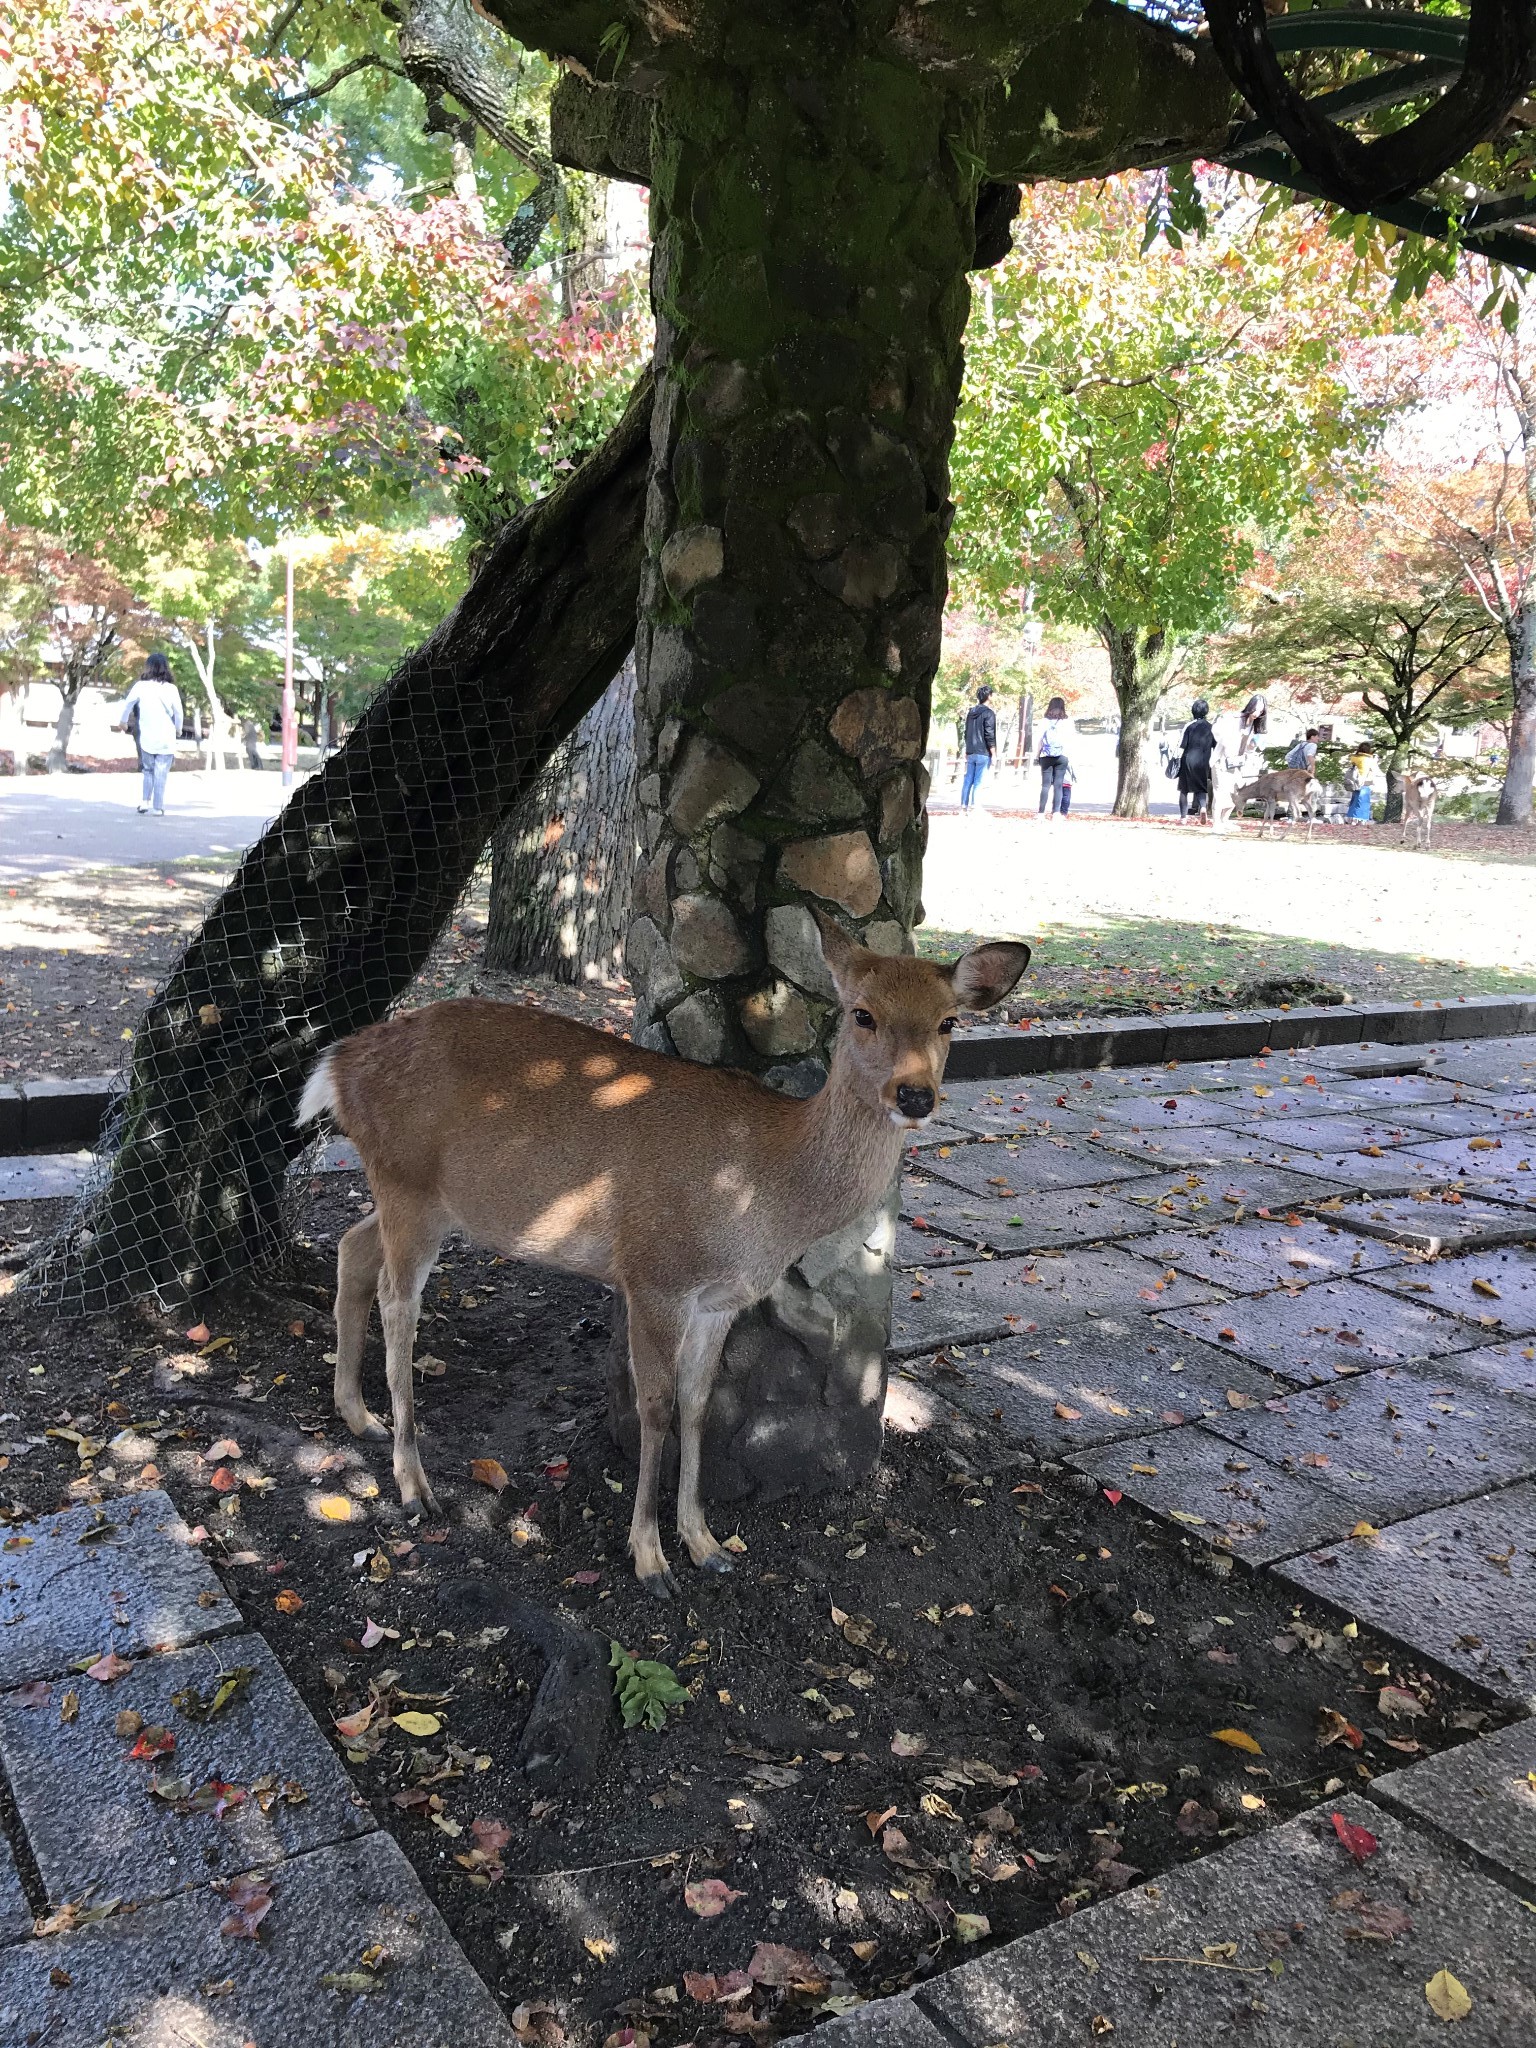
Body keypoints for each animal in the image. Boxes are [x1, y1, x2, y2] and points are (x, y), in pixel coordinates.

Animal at [296, 913, 1036, 1597]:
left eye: (948, 1023)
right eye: (863, 1013)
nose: (915, 1095)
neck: (764, 1193)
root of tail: (336, 1066)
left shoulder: (720, 1299)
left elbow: (700, 1402)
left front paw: (705, 1542)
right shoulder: (653, 1274)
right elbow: (654, 1408)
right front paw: (650, 1558)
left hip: (424, 1198)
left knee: (351, 1248)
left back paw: (358, 1416)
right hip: (408, 1184)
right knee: (399, 1305)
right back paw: (414, 1485)